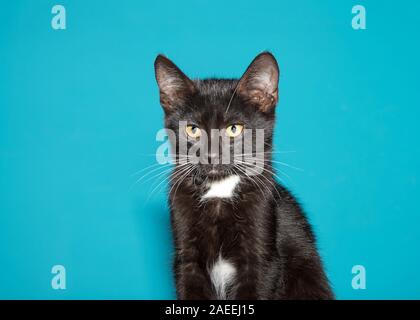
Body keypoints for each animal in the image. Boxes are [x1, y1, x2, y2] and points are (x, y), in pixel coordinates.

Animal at [153, 51, 334, 298]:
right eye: (192, 129)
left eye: (234, 129)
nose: (211, 155)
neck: (220, 190)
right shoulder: (186, 259)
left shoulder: (262, 257)